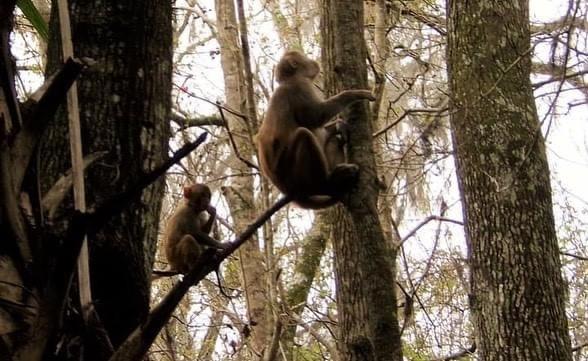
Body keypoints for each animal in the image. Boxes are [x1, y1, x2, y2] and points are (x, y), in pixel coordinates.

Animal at [258, 50, 376, 208]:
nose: (312, 61)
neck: (290, 79)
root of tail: (286, 189)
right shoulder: (300, 86)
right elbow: (316, 117)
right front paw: (355, 94)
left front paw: (339, 125)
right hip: (292, 174)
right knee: (304, 135)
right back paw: (326, 183)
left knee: (331, 140)